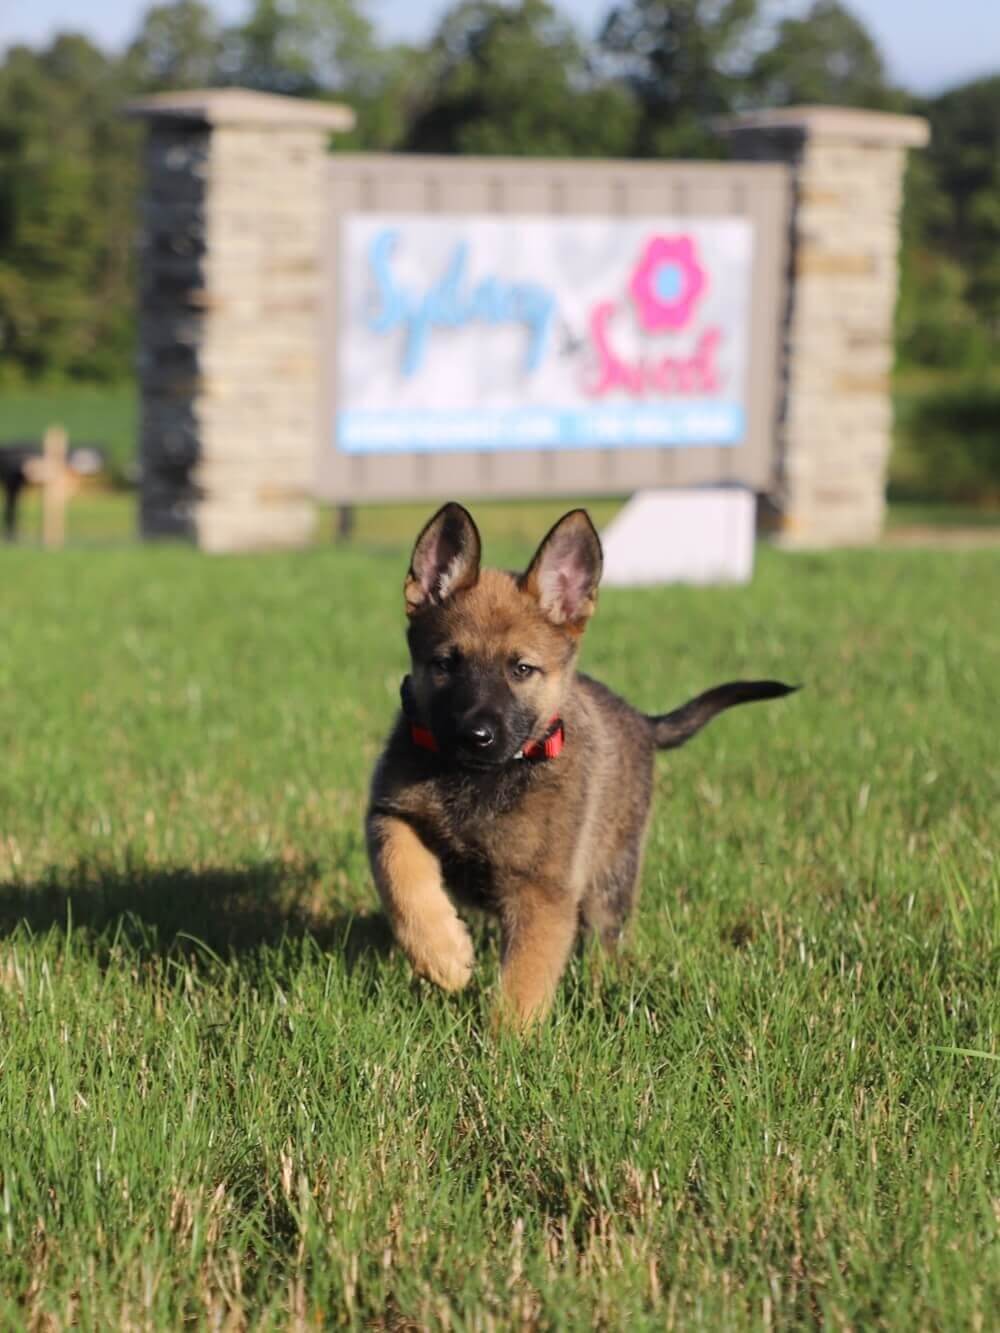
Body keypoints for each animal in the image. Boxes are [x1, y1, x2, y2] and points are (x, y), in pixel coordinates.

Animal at [368, 503, 800, 1023]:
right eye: (446, 664)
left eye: (522, 669)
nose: (476, 736)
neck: (479, 780)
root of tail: (642, 720)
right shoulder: (390, 814)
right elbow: (401, 875)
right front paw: (443, 953)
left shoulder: (545, 891)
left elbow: (525, 980)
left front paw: (505, 1041)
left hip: (610, 879)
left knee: (604, 943)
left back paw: (602, 987)